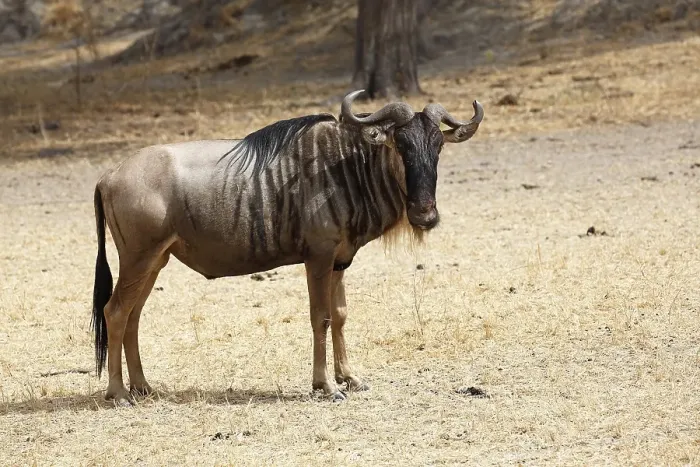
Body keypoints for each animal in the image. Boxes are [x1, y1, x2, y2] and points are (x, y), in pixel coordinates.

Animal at [91, 90, 483, 403]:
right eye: (400, 145)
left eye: (437, 146)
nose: (425, 214)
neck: (346, 168)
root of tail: (108, 176)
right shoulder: (319, 258)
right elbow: (321, 316)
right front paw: (326, 386)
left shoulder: (341, 260)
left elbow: (341, 314)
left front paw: (350, 378)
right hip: (138, 260)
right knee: (115, 312)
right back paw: (119, 393)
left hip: (155, 261)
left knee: (133, 316)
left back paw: (143, 387)